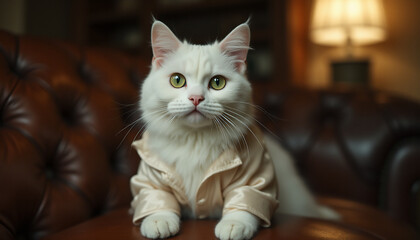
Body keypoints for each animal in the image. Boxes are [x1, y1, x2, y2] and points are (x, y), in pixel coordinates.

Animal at [130, 20, 340, 240]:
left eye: (217, 83)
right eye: (177, 80)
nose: (196, 98)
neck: (196, 139)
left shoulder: (253, 177)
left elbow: (245, 204)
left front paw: (233, 226)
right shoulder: (152, 178)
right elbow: (157, 198)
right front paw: (157, 221)